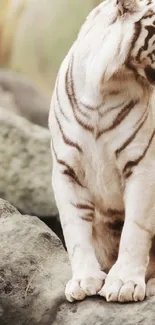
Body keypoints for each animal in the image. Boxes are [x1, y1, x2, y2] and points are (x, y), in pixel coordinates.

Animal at [48, 0, 155, 302]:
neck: (107, 89)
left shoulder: (143, 166)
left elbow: (135, 228)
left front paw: (123, 284)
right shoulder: (66, 169)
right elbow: (74, 229)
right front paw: (84, 280)